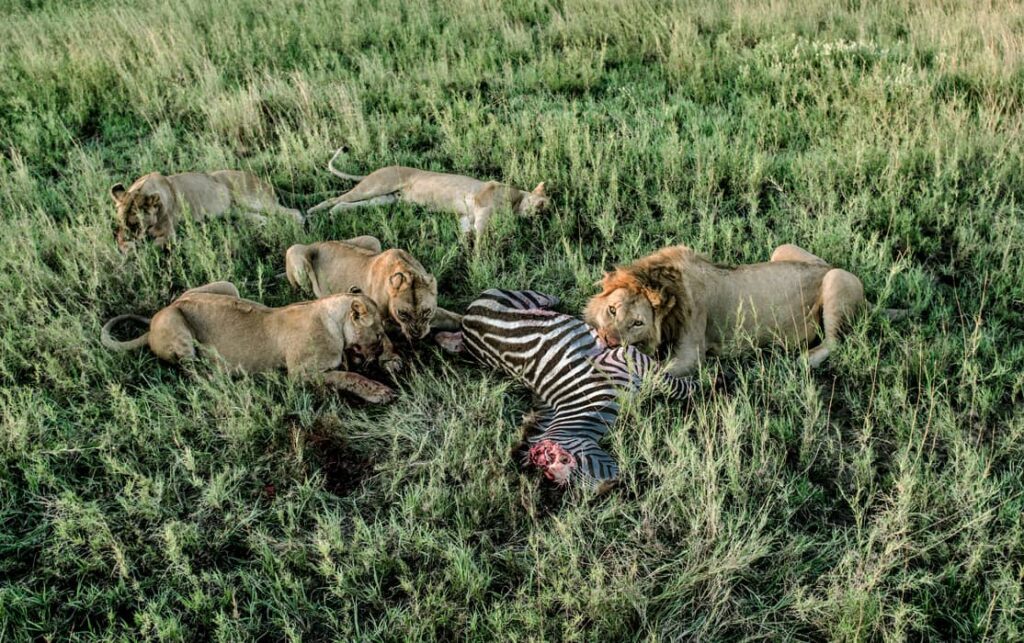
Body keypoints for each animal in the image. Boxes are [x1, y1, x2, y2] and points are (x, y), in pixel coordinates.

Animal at [100, 281, 396, 403]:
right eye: (379, 334)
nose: (379, 352)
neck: (334, 320)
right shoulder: (299, 374)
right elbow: (347, 376)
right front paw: (379, 390)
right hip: (175, 323)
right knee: (192, 373)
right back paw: (222, 378)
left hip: (226, 287)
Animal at [110, 170, 303, 250]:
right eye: (120, 220)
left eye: (135, 224)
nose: (128, 236)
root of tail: (260, 178)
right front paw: (126, 248)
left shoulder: (169, 234)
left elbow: (152, 246)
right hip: (236, 210)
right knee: (264, 219)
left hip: (252, 199)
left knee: (292, 213)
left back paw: (297, 225)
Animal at [285, 236, 462, 369]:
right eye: (402, 314)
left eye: (426, 311)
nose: (416, 334)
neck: (405, 271)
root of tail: (317, 242)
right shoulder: (376, 318)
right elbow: (384, 337)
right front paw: (390, 360)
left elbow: (452, 317)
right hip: (295, 251)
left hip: (372, 240)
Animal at [307, 147, 548, 241]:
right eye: (543, 202)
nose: (541, 213)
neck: (517, 201)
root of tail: (374, 172)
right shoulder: (482, 203)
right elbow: (481, 231)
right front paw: (481, 255)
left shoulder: (466, 216)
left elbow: (466, 230)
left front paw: (465, 250)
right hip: (377, 185)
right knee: (335, 198)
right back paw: (312, 211)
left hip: (385, 199)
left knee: (346, 204)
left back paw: (333, 214)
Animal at [584, 243, 903, 375]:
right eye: (612, 310)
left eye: (638, 323)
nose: (608, 340)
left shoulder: (692, 355)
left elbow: (649, 373)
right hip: (782, 249)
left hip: (837, 280)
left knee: (835, 342)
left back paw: (801, 361)